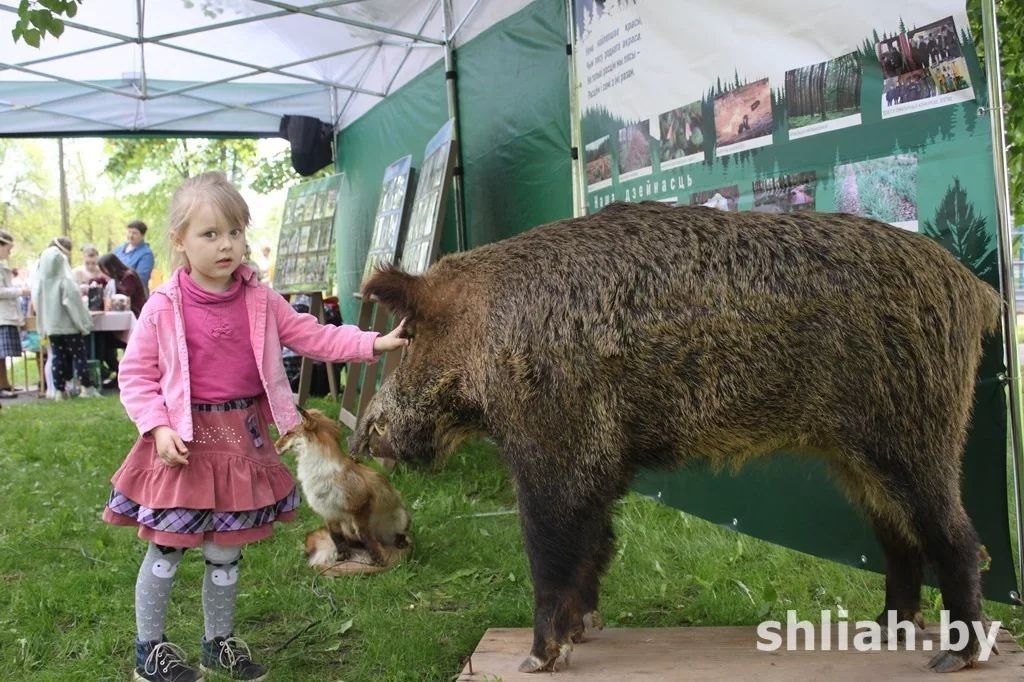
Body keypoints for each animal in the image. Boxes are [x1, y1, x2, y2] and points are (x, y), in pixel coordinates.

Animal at [280, 403, 411, 561]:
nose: (275, 446)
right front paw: (343, 553)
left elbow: (364, 534)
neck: (320, 475)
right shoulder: (328, 512)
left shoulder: (360, 504)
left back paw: (398, 542)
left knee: (399, 534)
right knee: (353, 540)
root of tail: (385, 539)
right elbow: (337, 537)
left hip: (402, 517)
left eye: (288, 433)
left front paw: (376, 555)